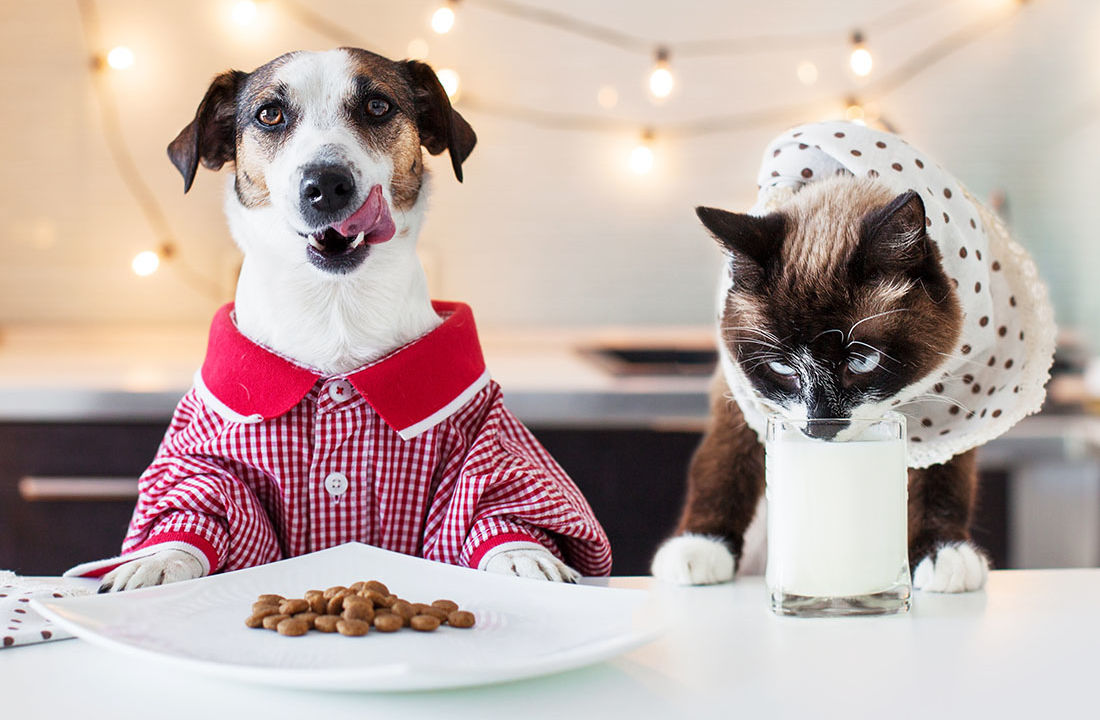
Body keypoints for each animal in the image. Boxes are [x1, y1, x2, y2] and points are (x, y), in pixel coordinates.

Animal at [62, 49, 611, 593]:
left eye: (377, 106)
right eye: (270, 114)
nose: (326, 184)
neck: (334, 307)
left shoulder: (484, 437)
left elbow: (492, 504)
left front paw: (521, 555)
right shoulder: (206, 454)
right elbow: (201, 505)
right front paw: (162, 556)